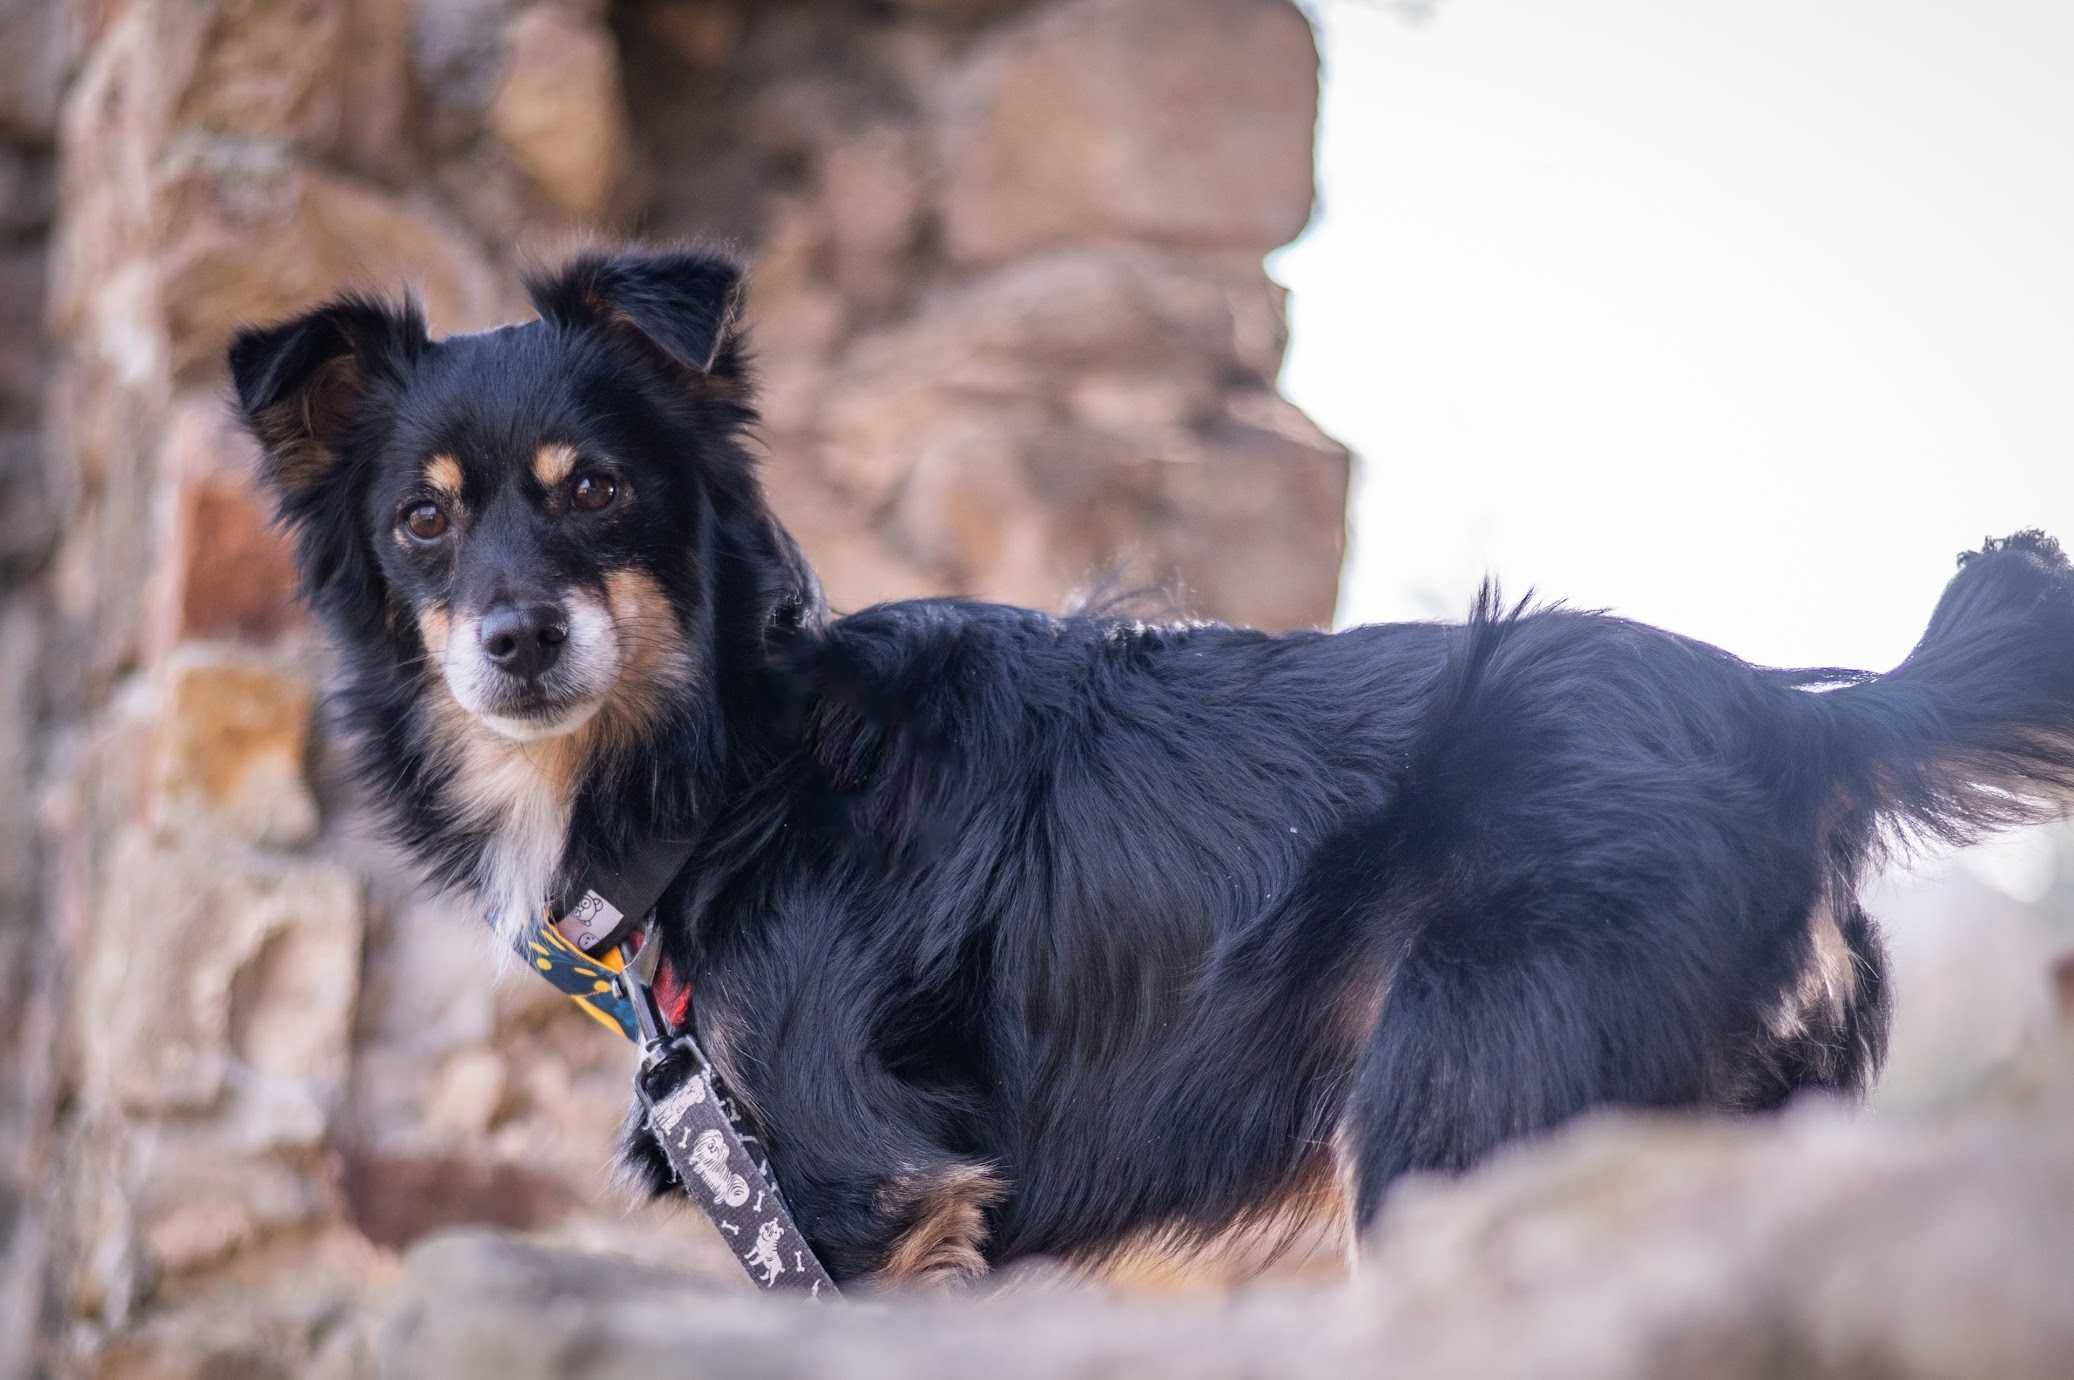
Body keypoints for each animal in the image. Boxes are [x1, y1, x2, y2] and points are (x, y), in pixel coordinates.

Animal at [235, 250, 2074, 1294]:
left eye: (600, 490)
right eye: (422, 522)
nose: (515, 642)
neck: (732, 766)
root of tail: (1803, 717)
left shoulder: (860, 1190)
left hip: (1466, 1111)